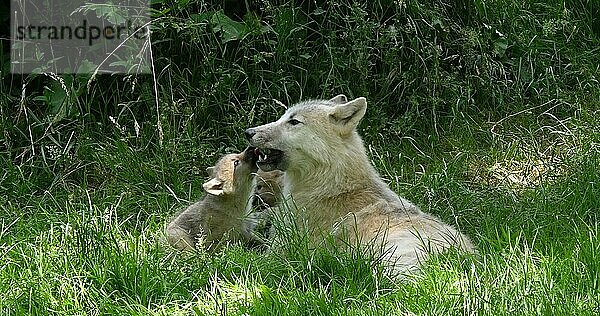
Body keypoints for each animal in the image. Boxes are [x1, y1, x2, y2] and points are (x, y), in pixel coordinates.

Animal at [246, 95, 476, 272]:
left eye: (294, 122)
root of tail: (467, 261)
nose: (248, 132)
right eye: (282, 117)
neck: (329, 185)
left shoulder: (278, 252)